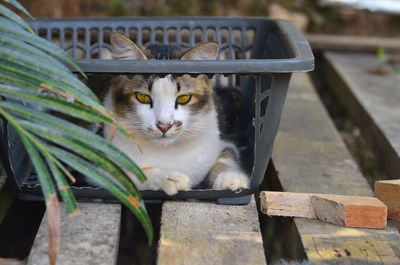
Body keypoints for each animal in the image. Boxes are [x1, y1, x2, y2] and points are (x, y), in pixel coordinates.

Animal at [101, 32, 248, 194]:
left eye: (184, 98)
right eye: (143, 97)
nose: (164, 125)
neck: (167, 149)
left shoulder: (222, 142)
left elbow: (228, 155)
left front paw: (231, 178)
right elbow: (132, 173)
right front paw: (169, 178)